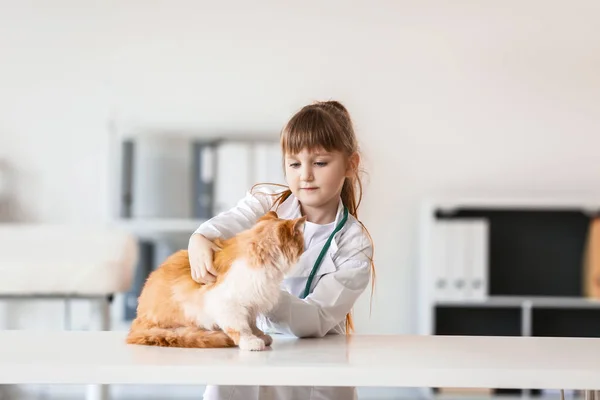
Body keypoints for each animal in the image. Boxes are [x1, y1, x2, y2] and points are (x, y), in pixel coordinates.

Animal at [126, 211, 304, 352]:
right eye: (301, 243)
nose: (304, 248)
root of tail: (136, 323)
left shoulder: (251, 304)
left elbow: (252, 323)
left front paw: (260, 336)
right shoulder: (227, 303)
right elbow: (241, 327)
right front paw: (251, 341)